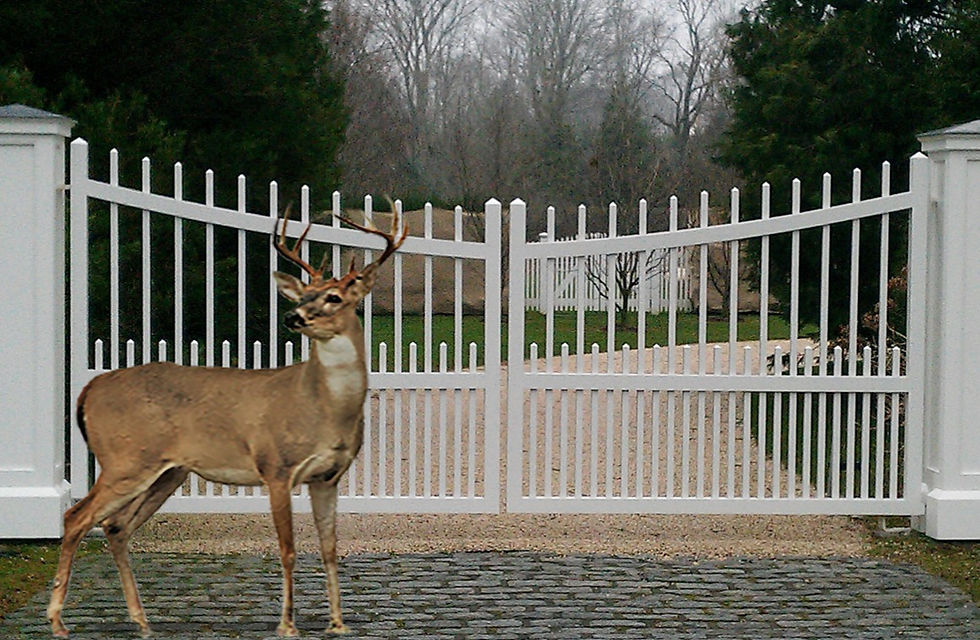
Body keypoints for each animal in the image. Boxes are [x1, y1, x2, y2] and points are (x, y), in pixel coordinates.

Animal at [47, 204, 408, 638]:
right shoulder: (276, 466)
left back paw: (141, 620)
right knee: (76, 517)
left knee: (116, 526)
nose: (293, 317)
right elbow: (288, 549)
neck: (323, 407)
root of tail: (89, 389)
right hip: (125, 459)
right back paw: (58, 621)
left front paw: (338, 623)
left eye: (334, 296)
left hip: (167, 471)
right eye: (304, 294)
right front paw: (287, 625)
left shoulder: (328, 476)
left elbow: (330, 548)